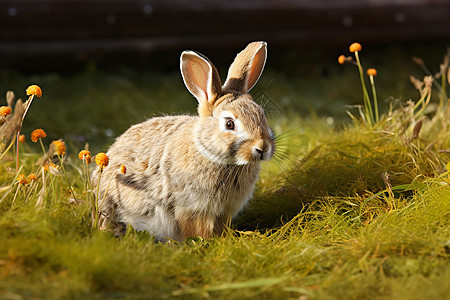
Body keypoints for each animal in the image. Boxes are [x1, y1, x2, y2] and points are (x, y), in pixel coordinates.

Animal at [92, 41, 274, 241]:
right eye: (229, 124)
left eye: (261, 115)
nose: (262, 148)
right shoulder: (193, 208)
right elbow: (196, 229)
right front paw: (204, 241)